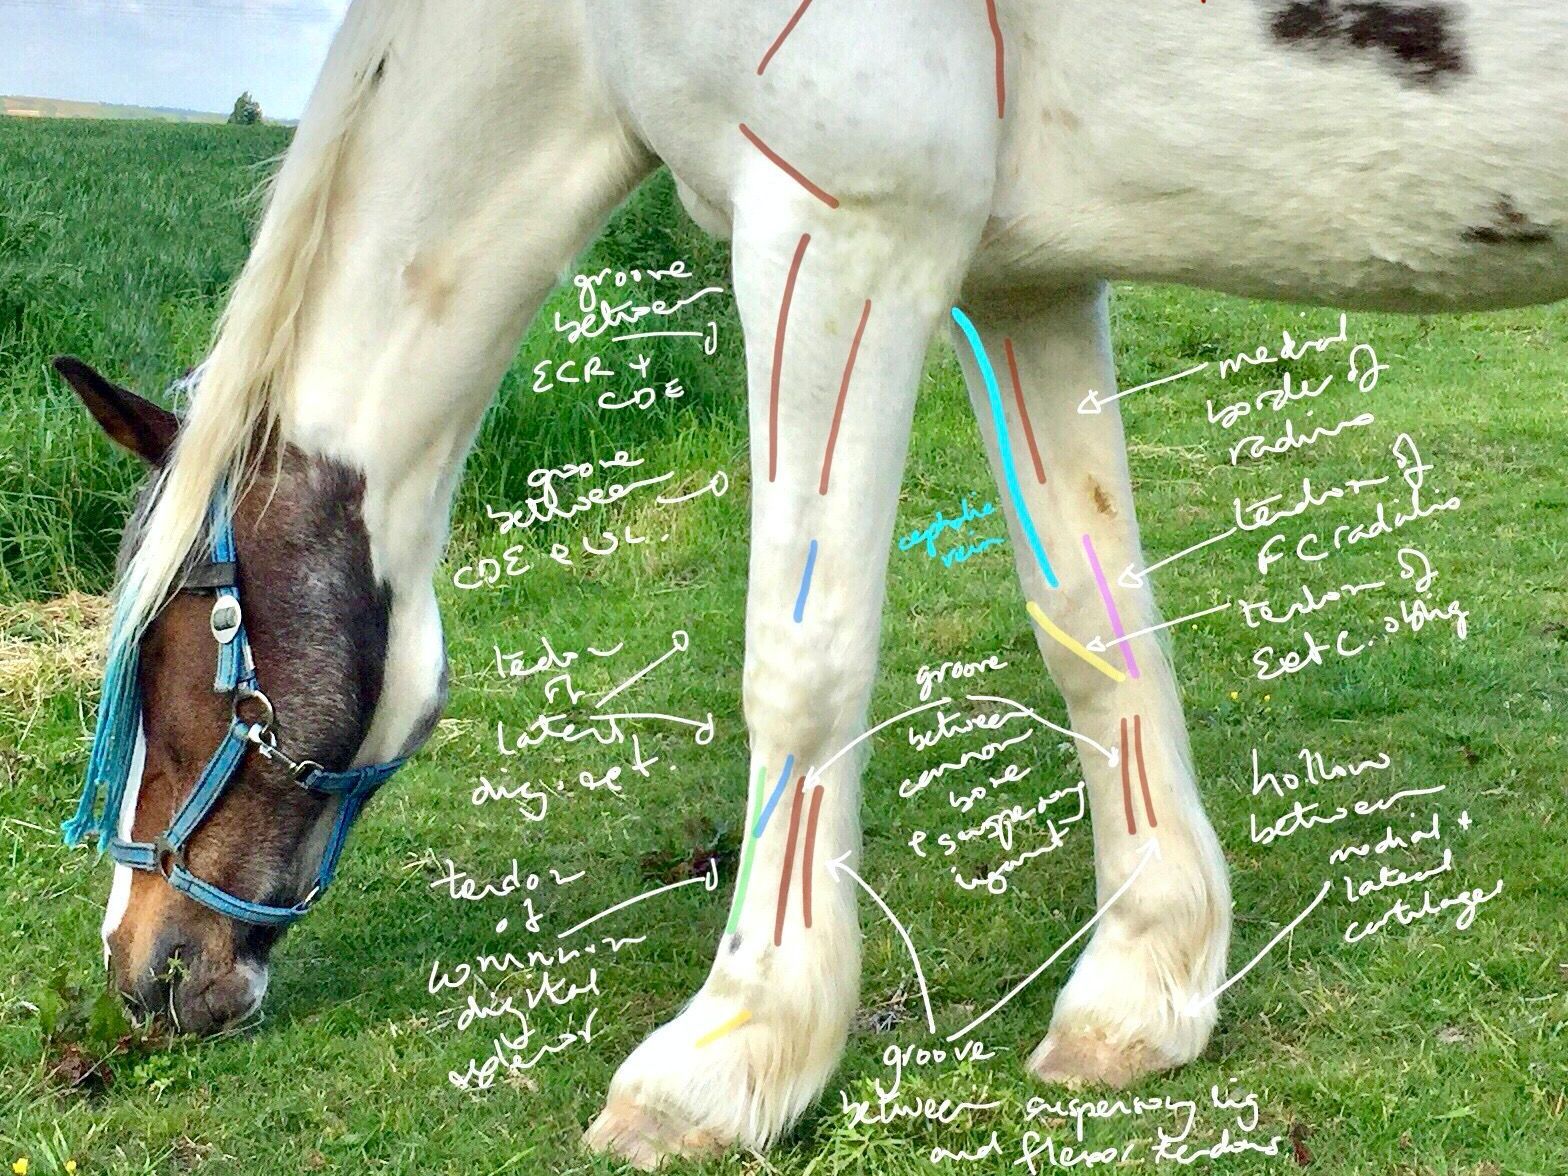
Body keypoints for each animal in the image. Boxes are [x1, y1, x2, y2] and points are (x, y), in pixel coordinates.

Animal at [53, 0, 1567, 1168]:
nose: (143, 969)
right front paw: (1145, 984)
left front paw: (732, 1053)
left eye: (172, 656)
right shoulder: (1025, 278)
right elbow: (1088, 619)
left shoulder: (839, 224)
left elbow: (800, 668)